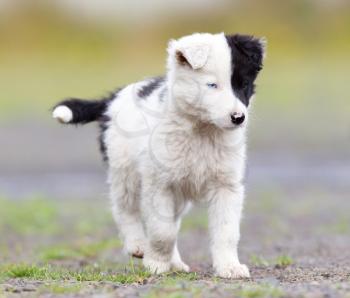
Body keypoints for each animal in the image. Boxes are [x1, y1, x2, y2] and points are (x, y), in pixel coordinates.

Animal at [52, 32, 266, 280]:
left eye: (244, 85)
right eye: (212, 85)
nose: (238, 118)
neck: (202, 131)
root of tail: (114, 98)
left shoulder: (226, 185)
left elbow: (226, 231)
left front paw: (229, 267)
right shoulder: (159, 184)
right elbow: (163, 231)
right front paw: (156, 263)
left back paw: (175, 262)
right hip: (124, 171)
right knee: (125, 209)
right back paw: (137, 245)